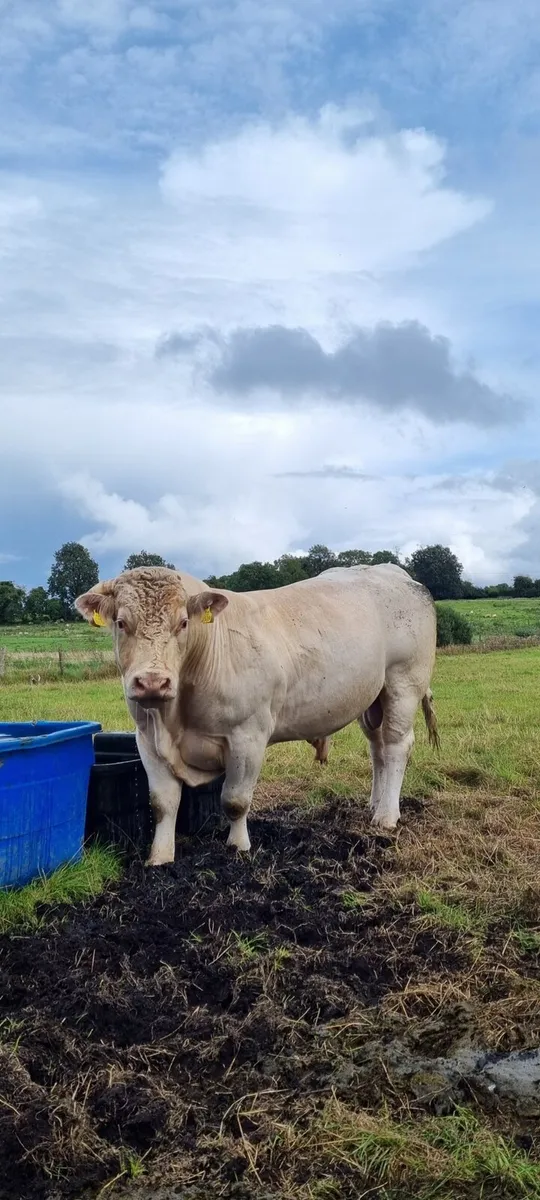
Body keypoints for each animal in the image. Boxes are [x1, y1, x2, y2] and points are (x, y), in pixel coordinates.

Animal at [76, 564, 438, 867]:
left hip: (403, 683)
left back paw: (387, 816)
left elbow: (235, 800)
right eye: (121, 623)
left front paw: (238, 848)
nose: (152, 681)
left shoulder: (247, 735)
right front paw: (160, 860)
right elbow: (162, 803)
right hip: (371, 698)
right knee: (378, 749)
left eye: (183, 623)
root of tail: (393, 571)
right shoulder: (147, 739)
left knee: (396, 746)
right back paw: (375, 804)